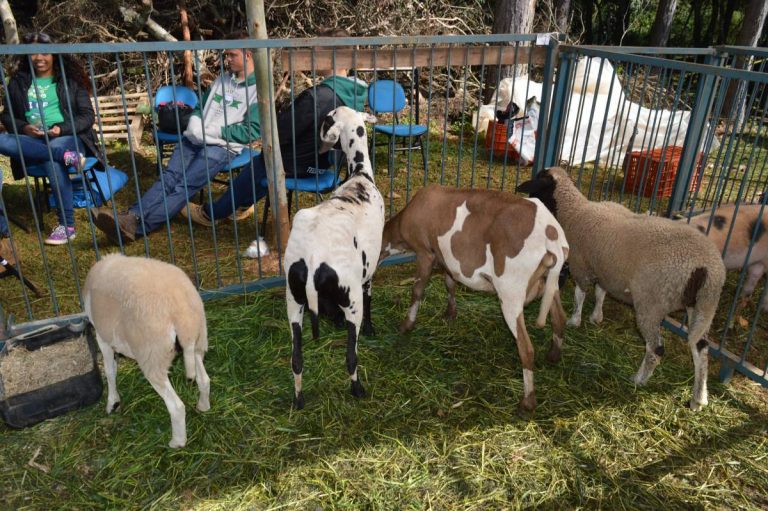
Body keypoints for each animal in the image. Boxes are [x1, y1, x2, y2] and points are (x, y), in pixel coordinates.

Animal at [83, 253, 210, 448]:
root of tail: (181, 315)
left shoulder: (102, 336)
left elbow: (110, 372)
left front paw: (112, 402)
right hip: (199, 340)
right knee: (204, 380)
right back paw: (203, 407)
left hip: (152, 355)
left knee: (176, 406)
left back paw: (177, 442)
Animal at [284, 106, 384, 409]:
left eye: (327, 119)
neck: (359, 175)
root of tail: (313, 258)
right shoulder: (369, 272)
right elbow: (371, 300)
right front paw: (371, 329)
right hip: (351, 300)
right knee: (351, 356)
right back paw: (358, 389)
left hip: (293, 301)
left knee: (296, 359)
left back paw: (299, 399)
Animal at [380, 185, 569, 412]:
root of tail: (552, 237)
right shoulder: (446, 258)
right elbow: (450, 282)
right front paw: (450, 313)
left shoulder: (425, 252)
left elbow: (417, 290)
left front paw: (406, 325)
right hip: (551, 283)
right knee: (560, 319)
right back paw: (553, 356)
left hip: (511, 290)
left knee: (526, 347)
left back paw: (528, 401)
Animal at [517, 167, 726, 410]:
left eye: (537, 183)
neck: (574, 209)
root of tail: (709, 269)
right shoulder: (605, 269)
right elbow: (600, 292)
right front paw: (596, 317)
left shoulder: (581, 265)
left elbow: (580, 294)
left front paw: (574, 320)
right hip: (701, 306)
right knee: (700, 347)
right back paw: (698, 398)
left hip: (651, 302)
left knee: (656, 348)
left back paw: (639, 379)